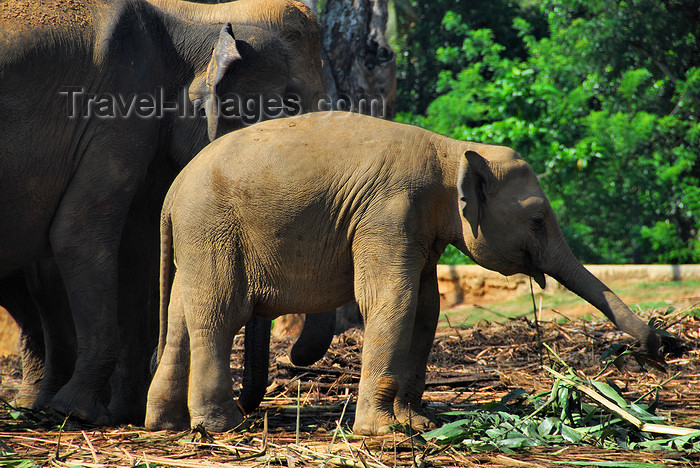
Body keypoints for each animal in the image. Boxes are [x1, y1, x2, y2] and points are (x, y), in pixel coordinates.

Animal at [0, 0, 326, 424]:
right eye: (291, 110)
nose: (248, 404)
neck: (189, 24)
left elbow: (138, 249)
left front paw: (127, 413)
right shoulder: (118, 109)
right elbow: (78, 234)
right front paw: (82, 412)